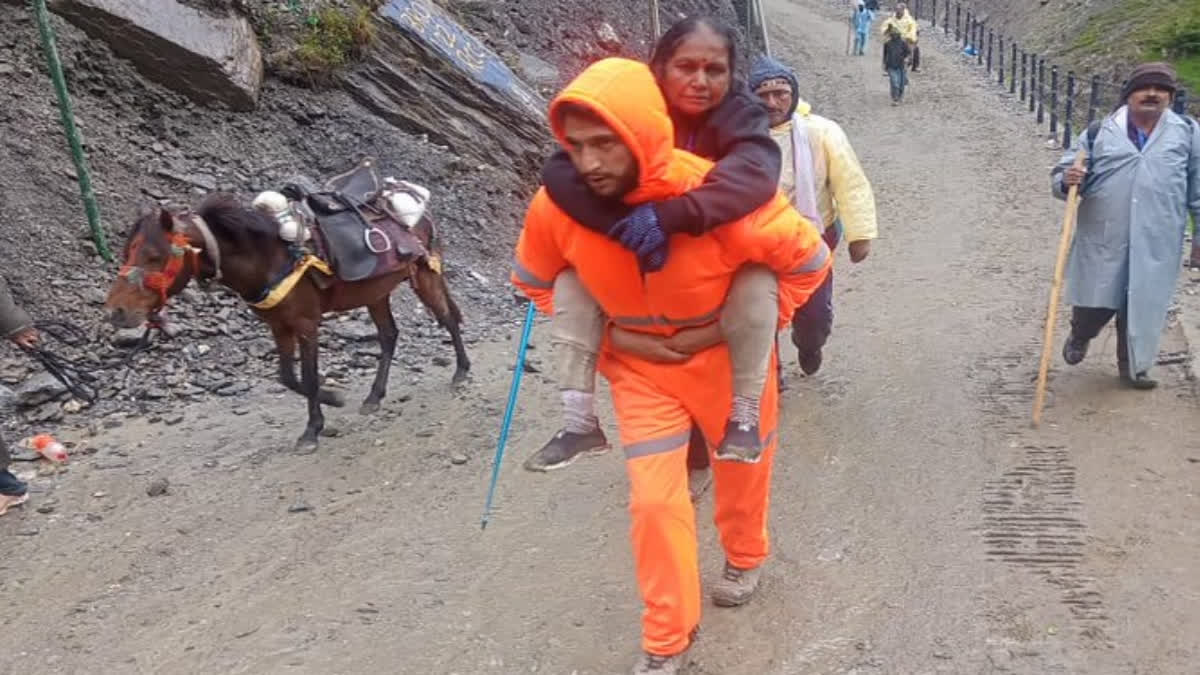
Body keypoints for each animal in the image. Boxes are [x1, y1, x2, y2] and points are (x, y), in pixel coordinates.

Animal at [104, 193, 468, 446]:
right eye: (127, 253)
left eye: (154, 256)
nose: (115, 311)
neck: (268, 258)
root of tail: (421, 213)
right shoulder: (279, 326)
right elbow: (287, 378)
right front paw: (333, 399)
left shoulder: (307, 323)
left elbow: (307, 376)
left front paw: (312, 429)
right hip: (376, 294)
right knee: (389, 335)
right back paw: (374, 397)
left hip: (425, 276)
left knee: (448, 318)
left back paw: (461, 372)